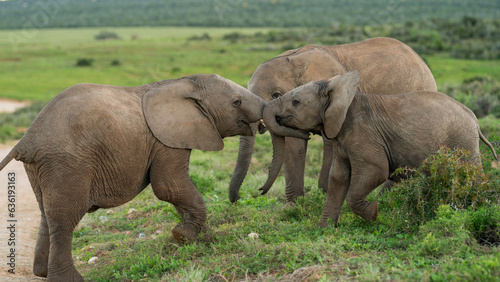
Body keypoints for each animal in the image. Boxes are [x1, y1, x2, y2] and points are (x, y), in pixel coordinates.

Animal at [0, 74, 266, 282]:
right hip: (67, 162)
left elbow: (177, 191)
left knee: (46, 212)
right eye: (237, 102)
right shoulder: (166, 140)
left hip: (42, 167)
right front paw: (184, 235)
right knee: (64, 218)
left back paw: (41, 273)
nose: (241, 197)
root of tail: (26, 140)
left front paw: (196, 237)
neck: (185, 83)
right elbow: (169, 186)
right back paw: (70, 279)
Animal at [230, 37, 438, 203]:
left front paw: (324, 196)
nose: (257, 192)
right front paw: (295, 206)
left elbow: (330, 143)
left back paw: (384, 199)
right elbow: (293, 145)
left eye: (275, 94)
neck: (296, 59)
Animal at [264, 72, 498, 227]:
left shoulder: (363, 134)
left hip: (463, 143)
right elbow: (338, 178)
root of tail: (474, 118)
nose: (306, 135)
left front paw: (374, 214)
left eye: (295, 102)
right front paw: (325, 229)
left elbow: (376, 171)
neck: (340, 91)